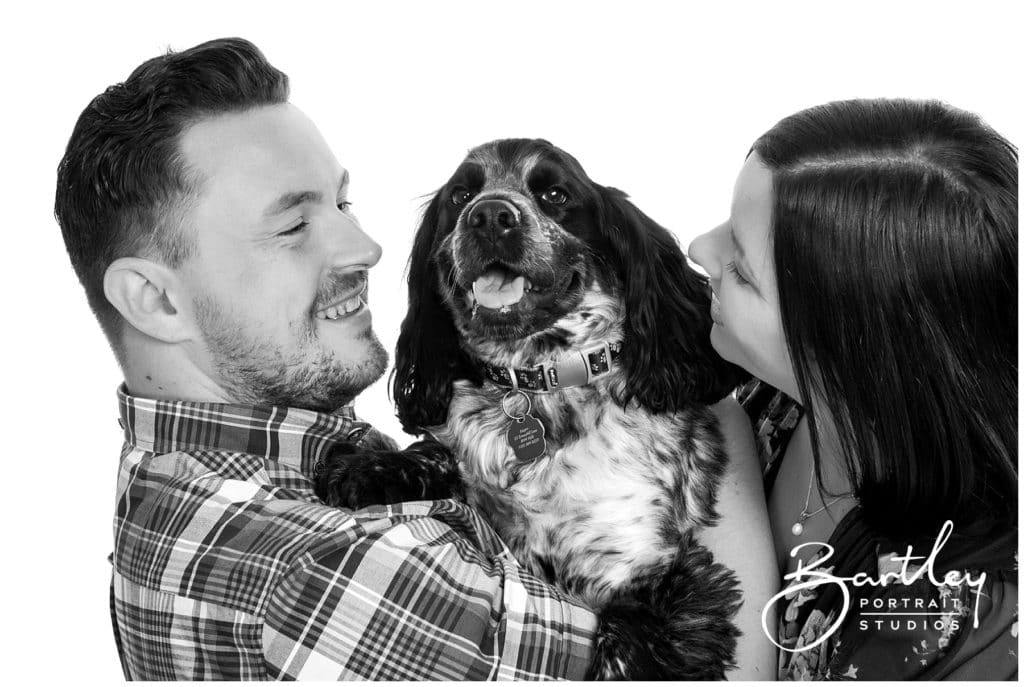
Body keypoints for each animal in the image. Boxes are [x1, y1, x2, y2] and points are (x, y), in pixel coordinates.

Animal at [313, 139, 745, 683]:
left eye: (555, 194)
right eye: (460, 195)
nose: (489, 215)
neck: (534, 386)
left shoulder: (652, 571)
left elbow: (627, 651)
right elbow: (444, 460)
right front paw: (367, 467)